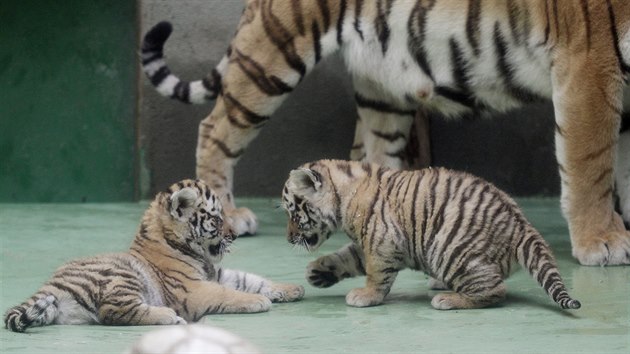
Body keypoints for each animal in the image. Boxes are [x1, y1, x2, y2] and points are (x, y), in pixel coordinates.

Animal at [142, 0, 630, 266]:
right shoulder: (589, 66)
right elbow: (592, 165)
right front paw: (602, 242)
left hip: (384, 86)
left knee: (371, 160)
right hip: (274, 51)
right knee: (215, 128)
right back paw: (226, 214)